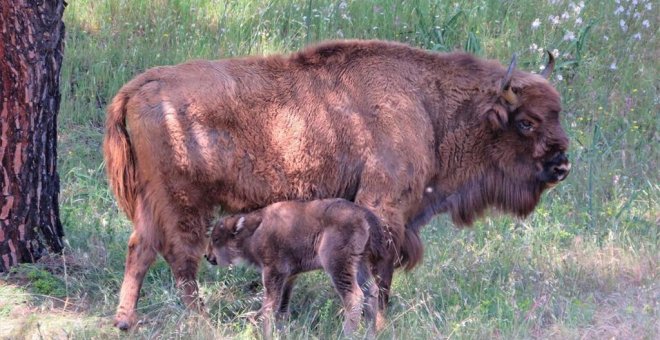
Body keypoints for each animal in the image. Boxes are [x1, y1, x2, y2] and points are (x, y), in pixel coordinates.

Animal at [208, 198, 386, 336]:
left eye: (216, 238)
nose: (208, 256)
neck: (255, 229)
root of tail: (363, 214)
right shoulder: (290, 277)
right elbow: (282, 307)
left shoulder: (273, 272)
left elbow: (269, 307)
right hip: (360, 263)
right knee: (371, 292)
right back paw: (371, 335)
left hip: (338, 265)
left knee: (354, 297)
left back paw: (346, 335)